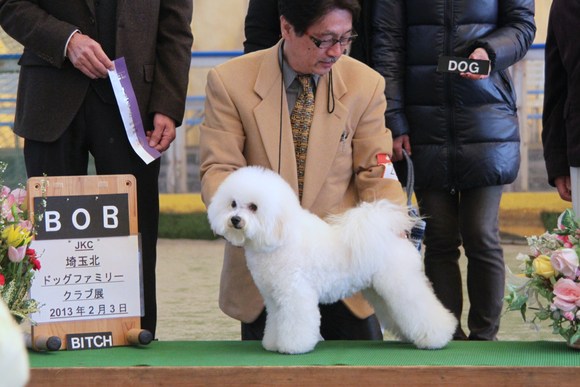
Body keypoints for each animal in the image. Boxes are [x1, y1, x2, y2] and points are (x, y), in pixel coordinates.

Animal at [206, 167, 456, 354]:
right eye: (233, 204)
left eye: (254, 207)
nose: (235, 220)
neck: (280, 237)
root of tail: (389, 232)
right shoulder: (275, 299)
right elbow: (276, 322)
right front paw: (273, 344)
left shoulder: (295, 293)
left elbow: (297, 323)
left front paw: (292, 347)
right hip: (379, 290)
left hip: (400, 282)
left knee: (422, 308)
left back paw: (436, 337)